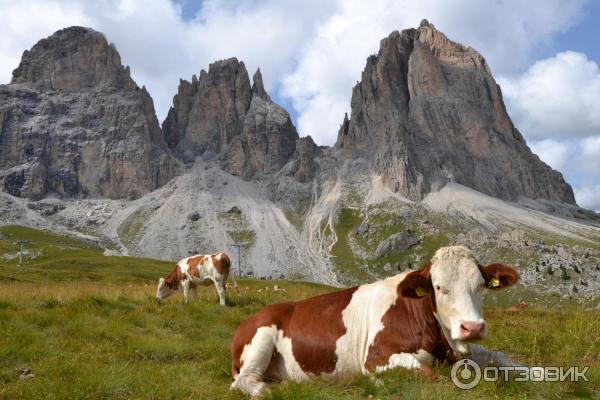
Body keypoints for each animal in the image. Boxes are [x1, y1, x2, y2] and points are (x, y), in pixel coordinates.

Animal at [230, 245, 520, 396]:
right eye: (438, 287)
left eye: (481, 285)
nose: (472, 327)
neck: (442, 345)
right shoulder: (376, 357)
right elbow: (429, 376)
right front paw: (376, 383)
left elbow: (504, 357)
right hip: (261, 339)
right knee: (243, 381)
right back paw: (272, 390)